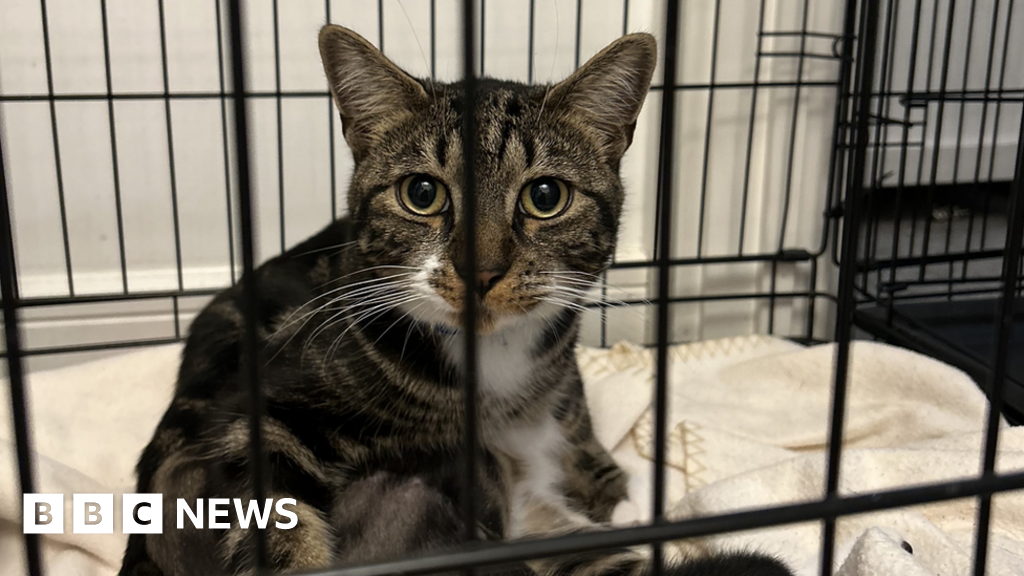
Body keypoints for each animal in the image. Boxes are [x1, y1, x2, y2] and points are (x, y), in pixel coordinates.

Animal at [117, 23, 790, 573]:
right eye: (422, 193)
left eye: (546, 196)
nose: (481, 269)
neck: (493, 366)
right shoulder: (258, 415)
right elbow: (270, 515)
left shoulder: (572, 445)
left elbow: (609, 491)